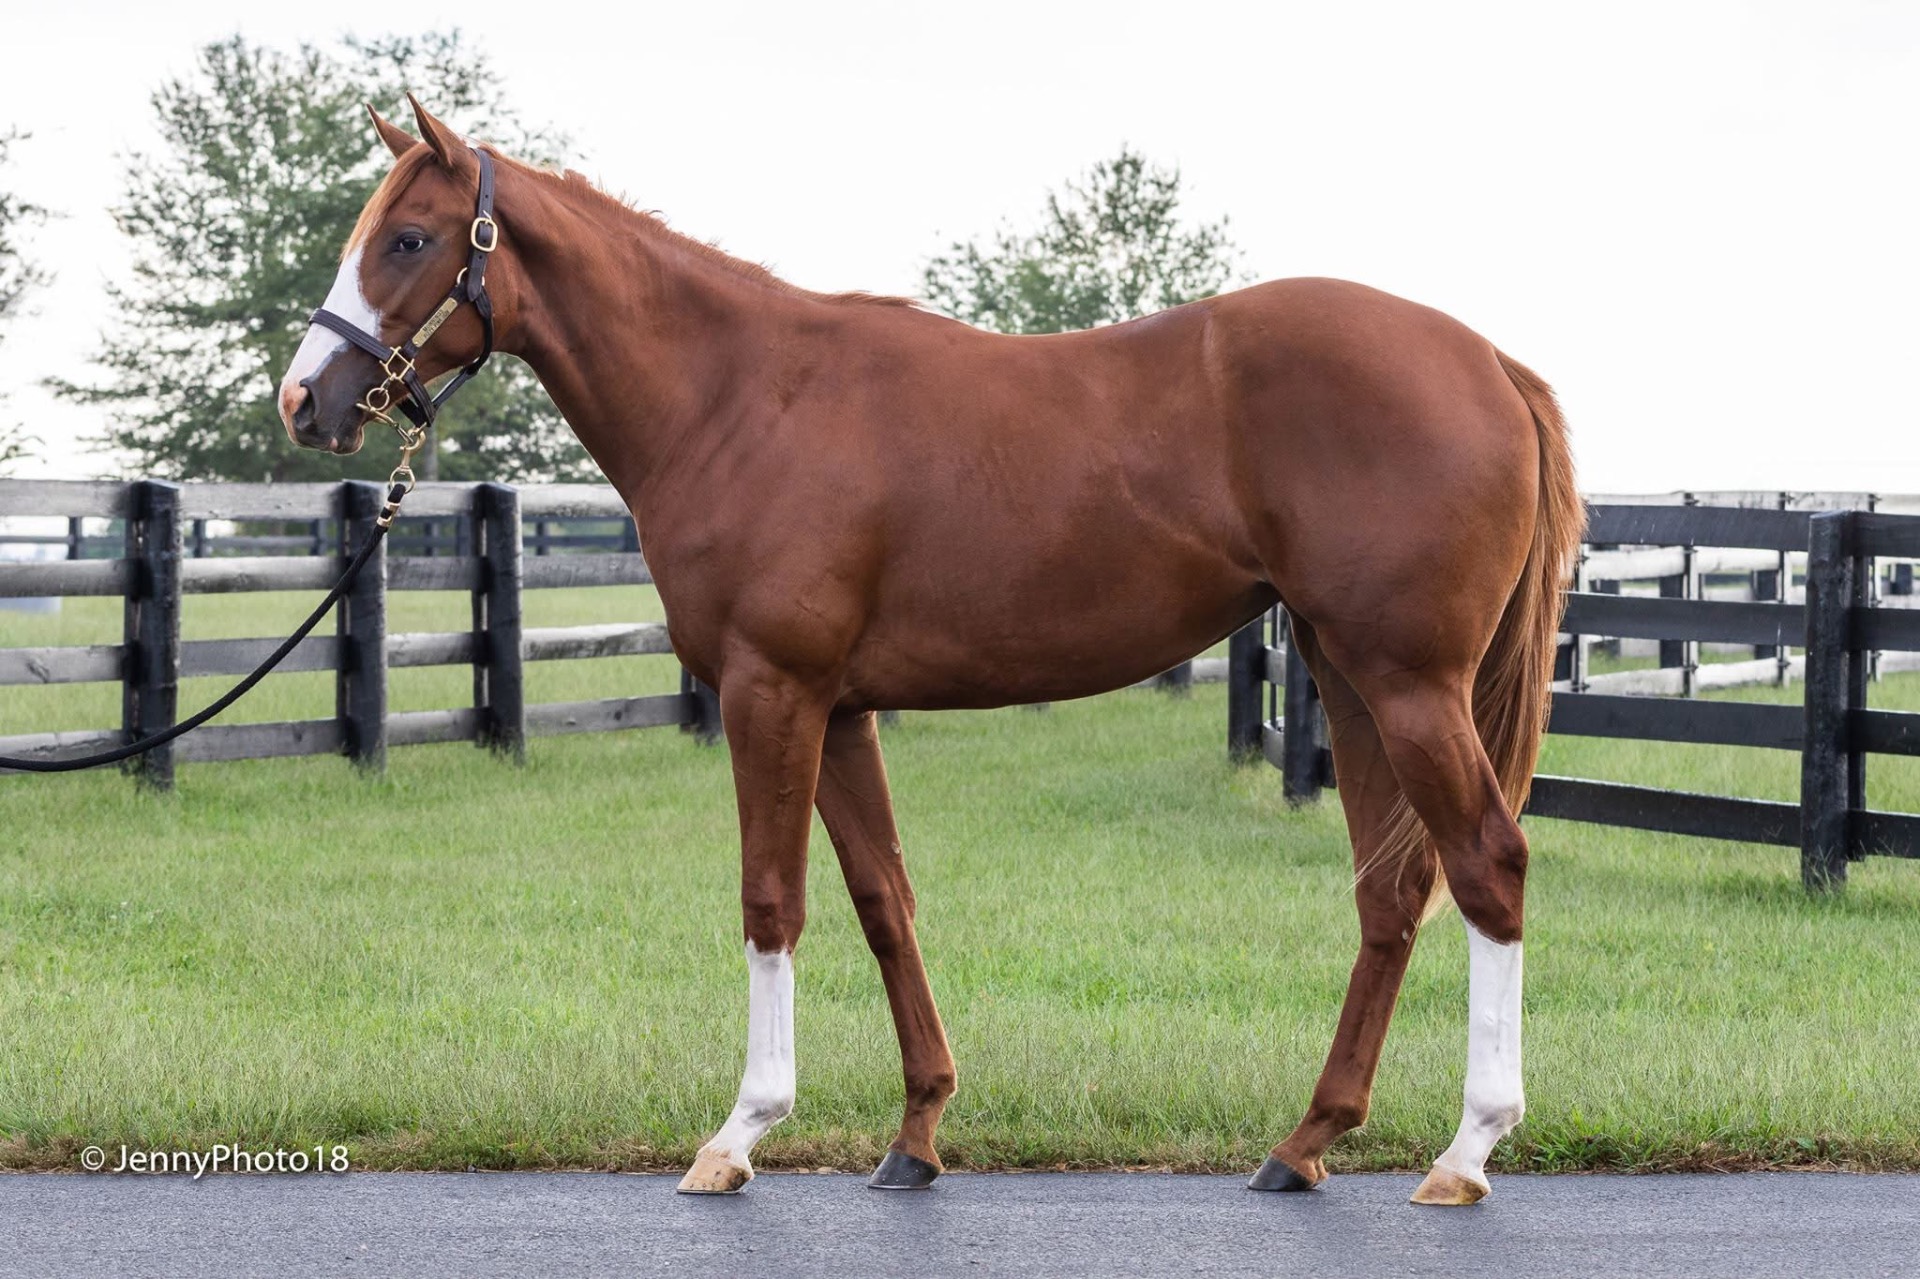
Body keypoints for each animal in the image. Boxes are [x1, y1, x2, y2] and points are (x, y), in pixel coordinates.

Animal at [280, 96, 1582, 1205]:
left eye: (407, 238)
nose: (304, 402)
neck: (740, 397)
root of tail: (1489, 362)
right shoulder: (842, 707)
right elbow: (882, 900)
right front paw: (916, 1134)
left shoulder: (771, 692)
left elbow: (772, 900)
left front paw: (739, 1134)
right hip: (1350, 679)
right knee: (1391, 889)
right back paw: (1306, 1141)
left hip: (1411, 685)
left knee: (1488, 862)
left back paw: (1467, 1149)